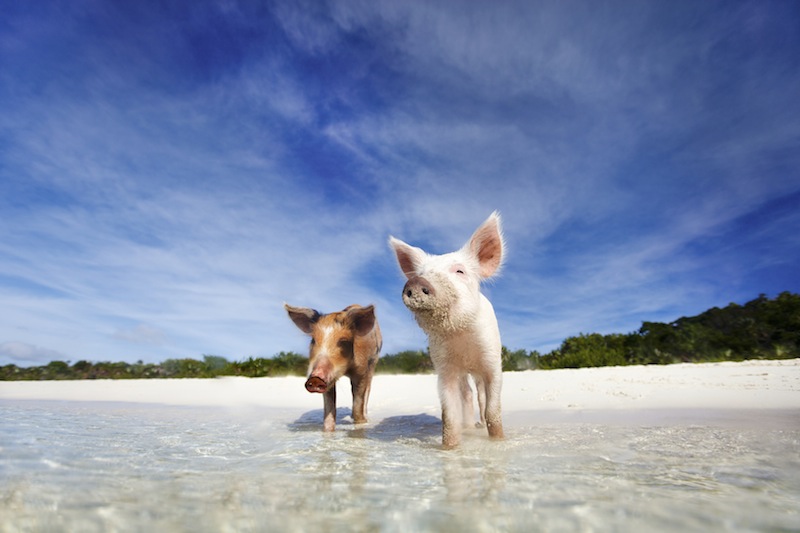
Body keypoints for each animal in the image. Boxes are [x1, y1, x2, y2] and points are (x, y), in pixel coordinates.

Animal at [284, 303, 382, 432]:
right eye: (313, 340)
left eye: (343, 341)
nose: (315, 378)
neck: (347, 369)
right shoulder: (328, 381)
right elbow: (329, 412)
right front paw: (328, 432)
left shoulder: (361, 371)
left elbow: (358, 406)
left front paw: (362, 423)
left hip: (373, 363)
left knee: (367, 390)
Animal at [389, 212, 505, 448]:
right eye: (421, 273)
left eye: (459, 270)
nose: (416, 282)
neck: (460, 335)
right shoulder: (444, 367)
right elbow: (449, 416)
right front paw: (450, 448)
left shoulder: (492, 360)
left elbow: (492, 410)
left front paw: (499, 441)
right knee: (467, 394)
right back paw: (469, 427)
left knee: (480, 395)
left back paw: (479, 425)